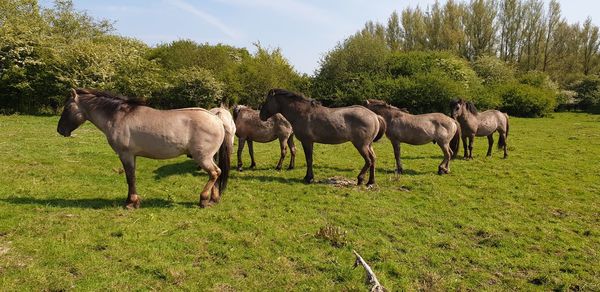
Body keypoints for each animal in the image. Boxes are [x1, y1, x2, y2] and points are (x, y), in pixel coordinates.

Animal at [57, 88, 232, 209]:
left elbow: (130, 178)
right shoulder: (132, 156)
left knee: (215, 173)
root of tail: (217, 119)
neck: (120, 116)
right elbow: (131, 177)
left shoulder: (126, 155)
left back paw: (203, 199)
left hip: (203, 157)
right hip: (210, 156)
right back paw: (213, 199)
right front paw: (132, 200)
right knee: (216, 174)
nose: (60, 130)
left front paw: (131, 203)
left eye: (67, 108)